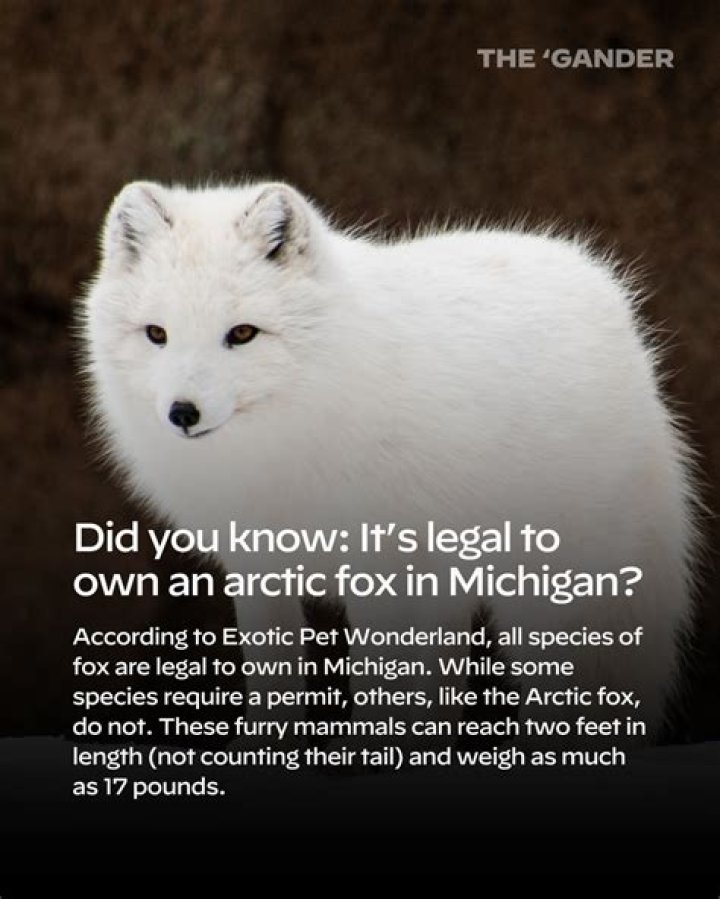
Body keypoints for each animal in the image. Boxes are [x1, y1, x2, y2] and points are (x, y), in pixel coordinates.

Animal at [80, 179, 698, 746]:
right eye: (157, 334)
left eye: (243, 334)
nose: (182, 413)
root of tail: (609, 297)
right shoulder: (260, 565)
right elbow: (276, 679)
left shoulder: (385, 574)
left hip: (551, 591)